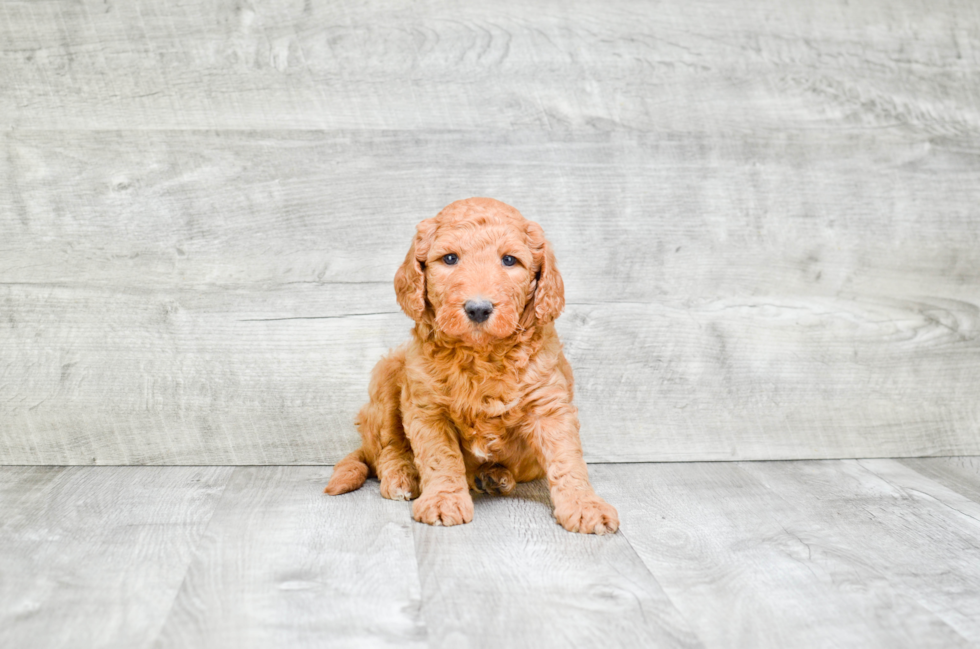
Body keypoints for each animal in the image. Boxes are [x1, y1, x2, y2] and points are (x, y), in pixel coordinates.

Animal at [330, 196, 620, 532]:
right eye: (449, 258)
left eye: (509, 261)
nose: (478, 308)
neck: (481, 354)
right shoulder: (427, 406)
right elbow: (440, 457)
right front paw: (443, 500)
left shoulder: (549, 405)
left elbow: (566, 458)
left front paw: (585, 505)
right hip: (389, 375)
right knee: (387, 447)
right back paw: (402, 476)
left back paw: (494, 476)